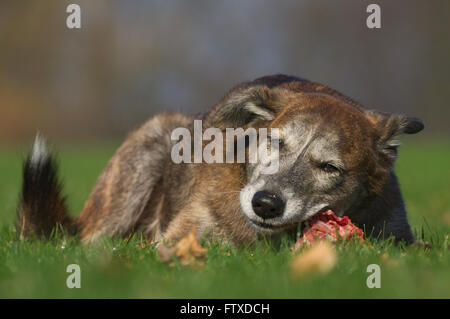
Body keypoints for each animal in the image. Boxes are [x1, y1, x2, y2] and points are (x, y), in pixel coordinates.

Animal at [17, 74, 424, 245]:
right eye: (274, 143)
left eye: (330, 168)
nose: (266, 204)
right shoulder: (185, 235)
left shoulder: (396, 234)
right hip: (150, 148)